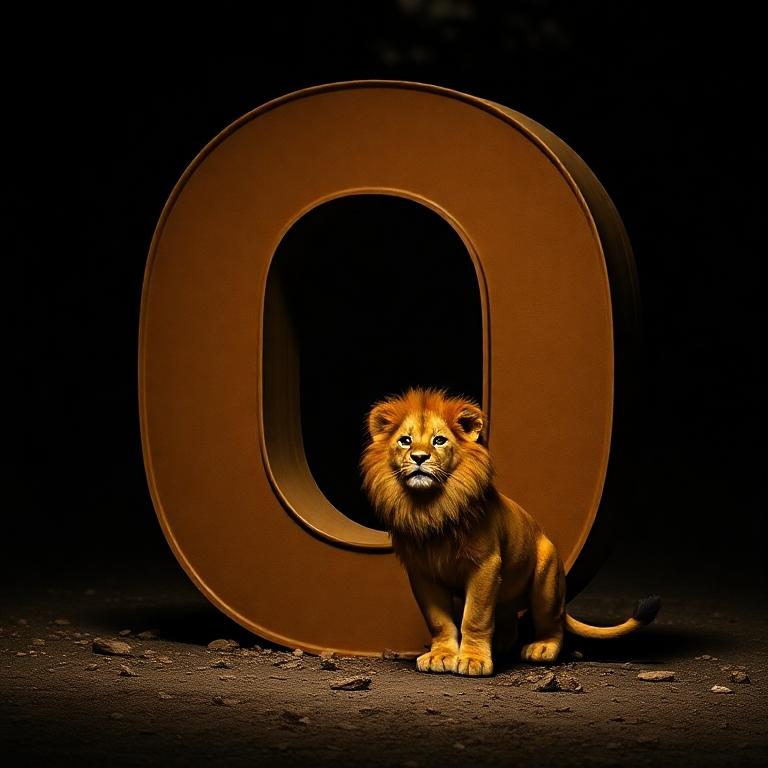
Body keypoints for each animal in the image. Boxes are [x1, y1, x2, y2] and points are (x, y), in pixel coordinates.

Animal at [361, 388, 659, 676]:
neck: (430, 505)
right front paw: (442, 655)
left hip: (546, 583)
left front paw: (473, 660)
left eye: (439, 441)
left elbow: (475, 617)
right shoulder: (423, 573)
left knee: (552, 623)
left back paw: (541, 648)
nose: (419, 458)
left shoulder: (485, 565)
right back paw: (501, 645)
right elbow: (440, 621)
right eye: (405, 440)